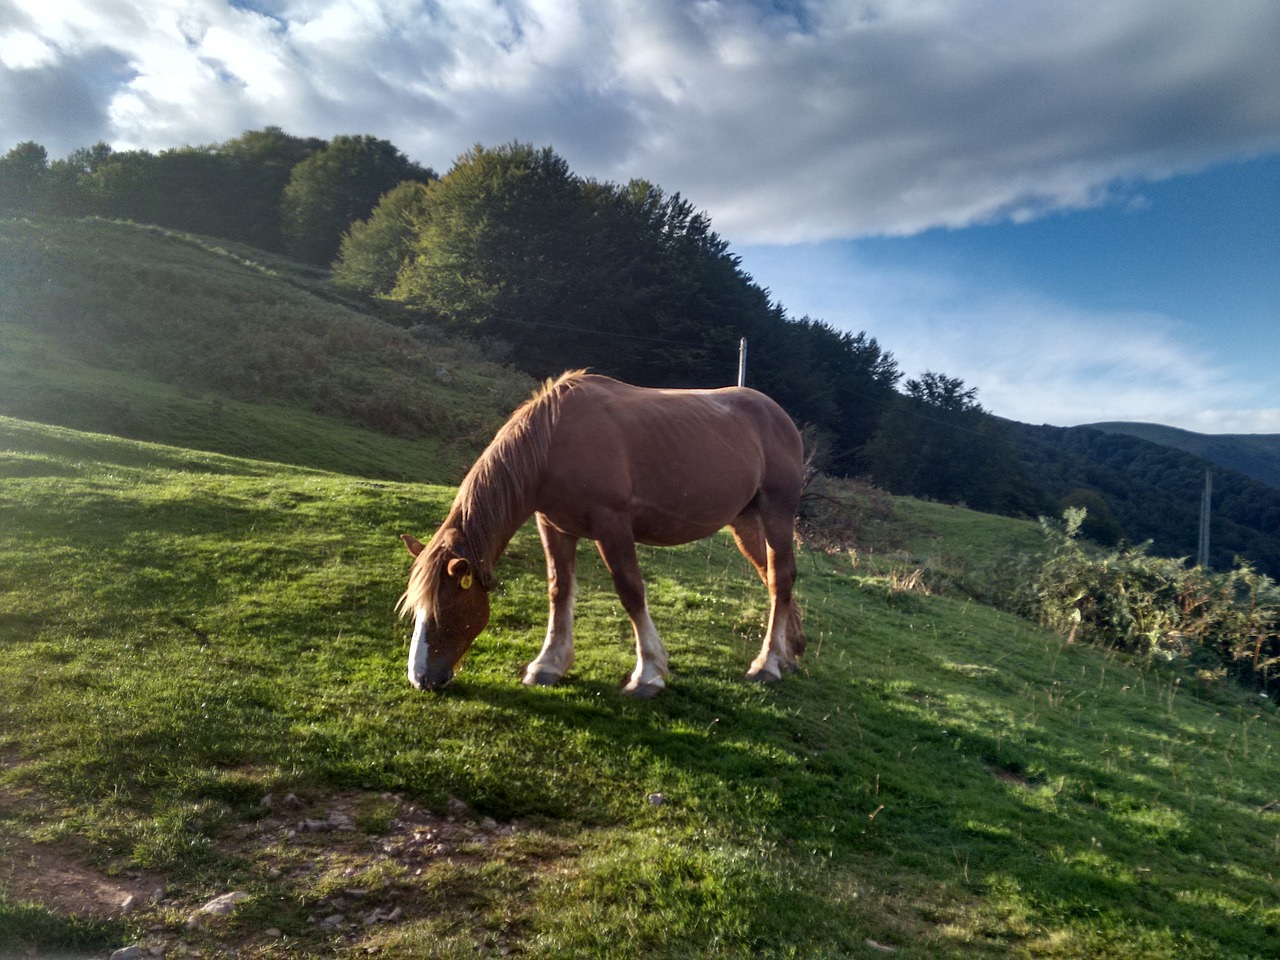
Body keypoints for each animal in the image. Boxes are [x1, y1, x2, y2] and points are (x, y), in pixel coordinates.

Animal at [394, 371, 803, 701]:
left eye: (443, 608)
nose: (420, 678)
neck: (553, 441)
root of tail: (780, 417)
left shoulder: (612, 525)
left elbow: (631, 592)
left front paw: (648, 674)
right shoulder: (554, 526)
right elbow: (559, 590)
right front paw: (547, 665)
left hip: (777, 514)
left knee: (781, 578)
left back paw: (767, 664)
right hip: (744, 522)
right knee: (772, 578)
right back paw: (789, 651)